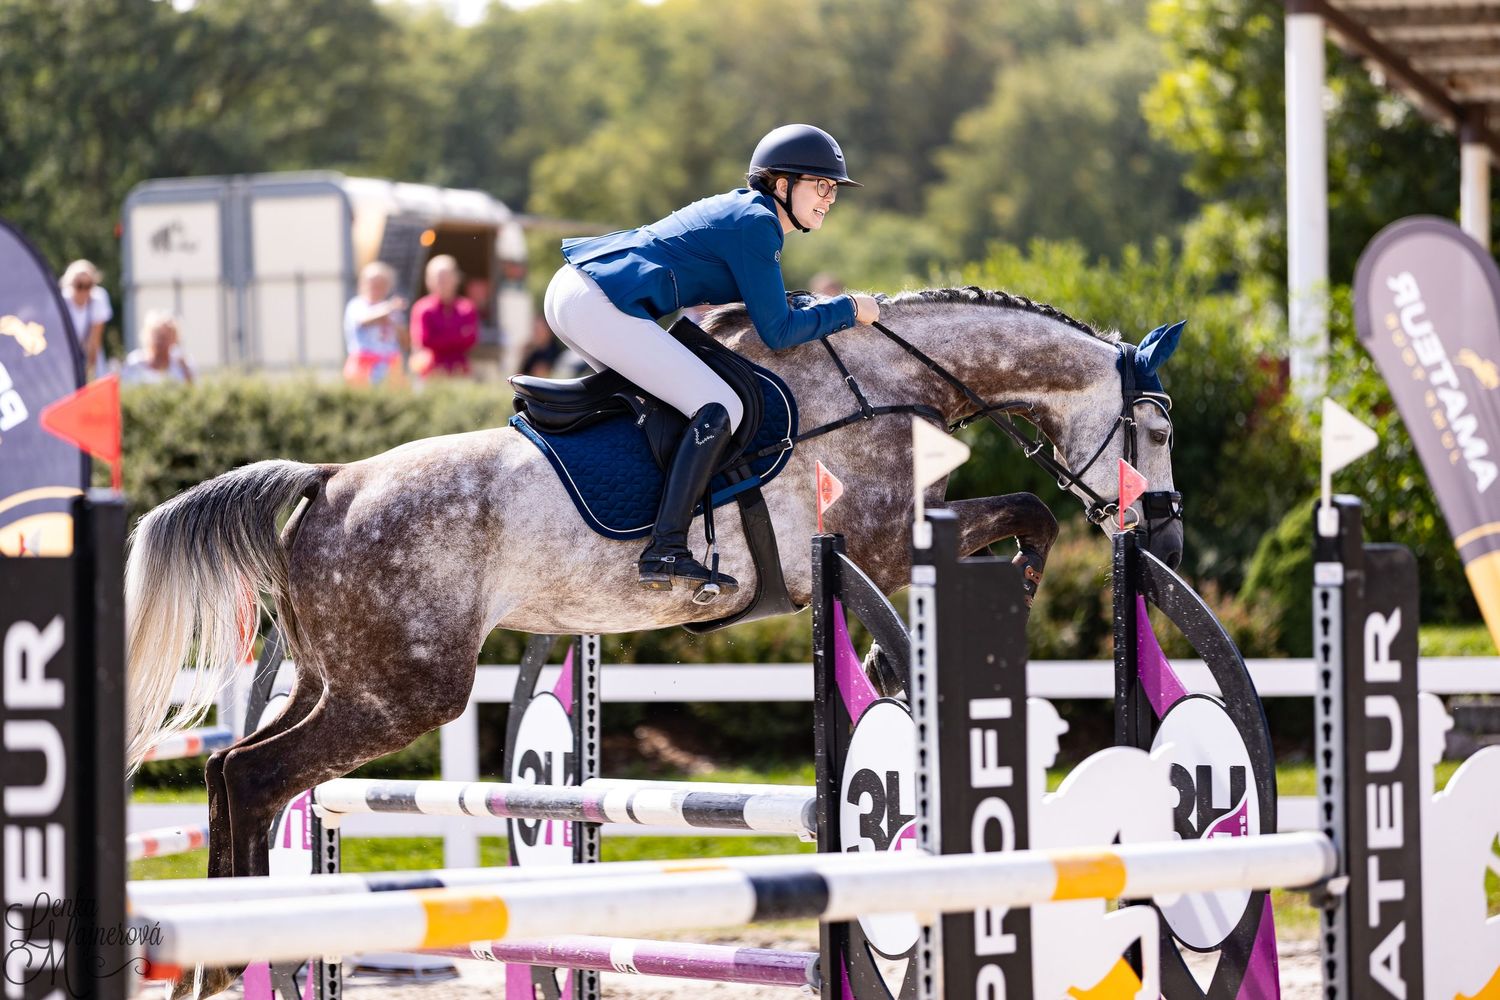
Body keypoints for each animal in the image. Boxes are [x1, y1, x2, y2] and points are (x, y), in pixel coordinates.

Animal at [123, 286, 1183, 994]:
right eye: (1159, 429)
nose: (1165, 536)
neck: (884, 383)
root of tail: (331, 481)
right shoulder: (882, 542)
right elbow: (1025, 515)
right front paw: (985, 611)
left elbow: (1014, 517)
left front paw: (911, 652)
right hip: (402, 692)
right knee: (255, 775)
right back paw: (231, 960)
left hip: (336, 679)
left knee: (230, 773)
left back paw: (218, 956)